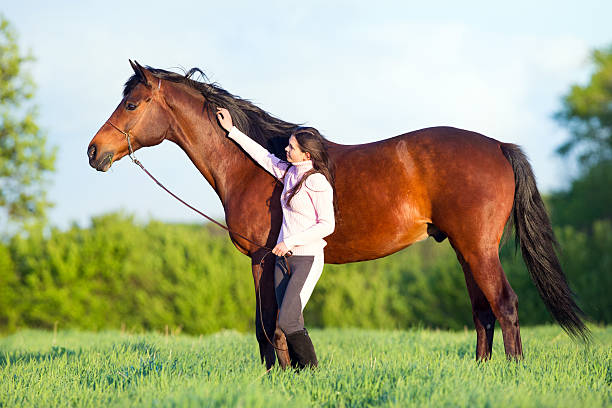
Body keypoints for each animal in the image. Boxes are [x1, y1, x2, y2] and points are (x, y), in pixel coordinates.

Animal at [86, 61, 588, 370]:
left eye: (131, 104)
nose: (94, 152)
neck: (252, 165)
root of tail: (498, 146)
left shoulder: (261, 258)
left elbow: (266, 324)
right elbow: (275, 323)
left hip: (479, 248)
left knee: (504, 304)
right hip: (466, 251)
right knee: (483, 312)